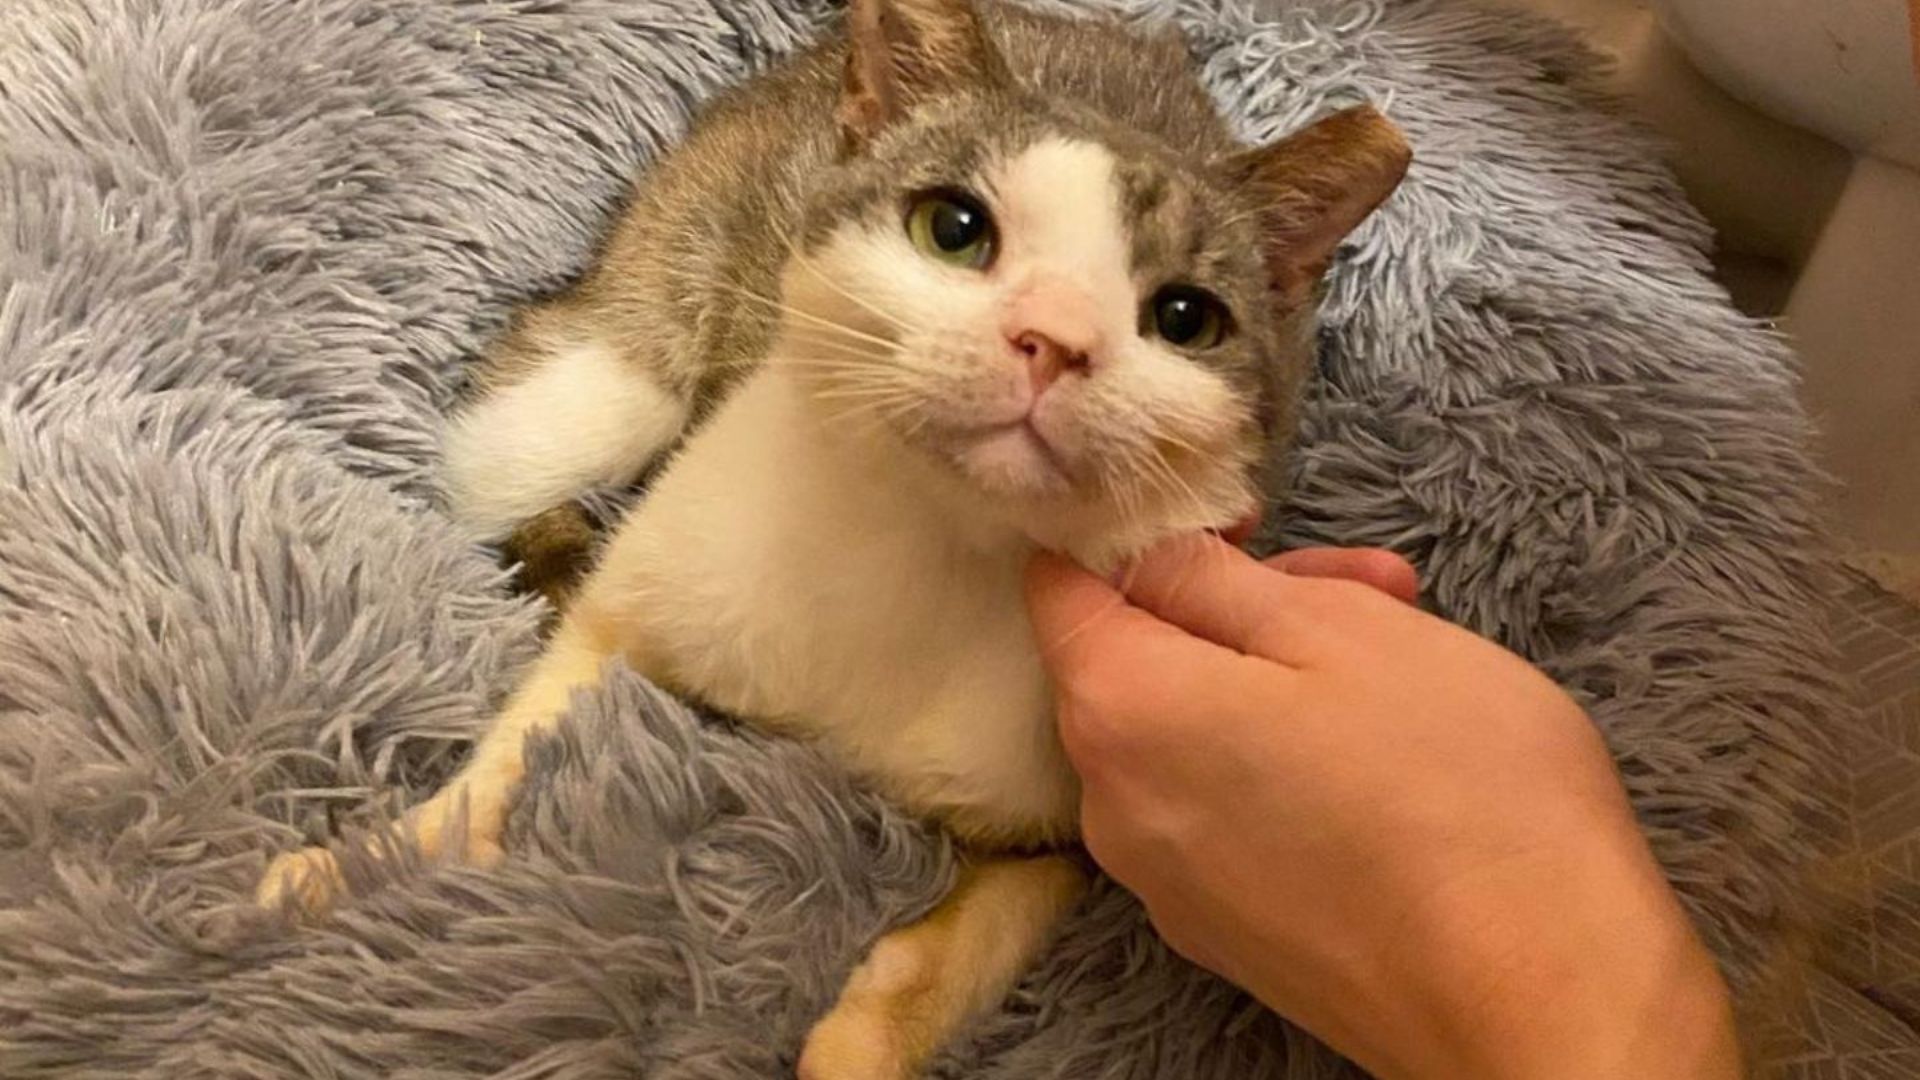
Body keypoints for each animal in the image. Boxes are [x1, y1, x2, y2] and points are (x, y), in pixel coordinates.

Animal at [255, 0, 1409, 1074]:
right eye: (955, 228)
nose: (1055, 341)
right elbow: (517, 740)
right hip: (624, 350)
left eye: (1182, 317)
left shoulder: (1073, 806)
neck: (917, 538)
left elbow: (963, 949)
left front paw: (864, 1039)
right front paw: (377, 860)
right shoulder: (652, 583)